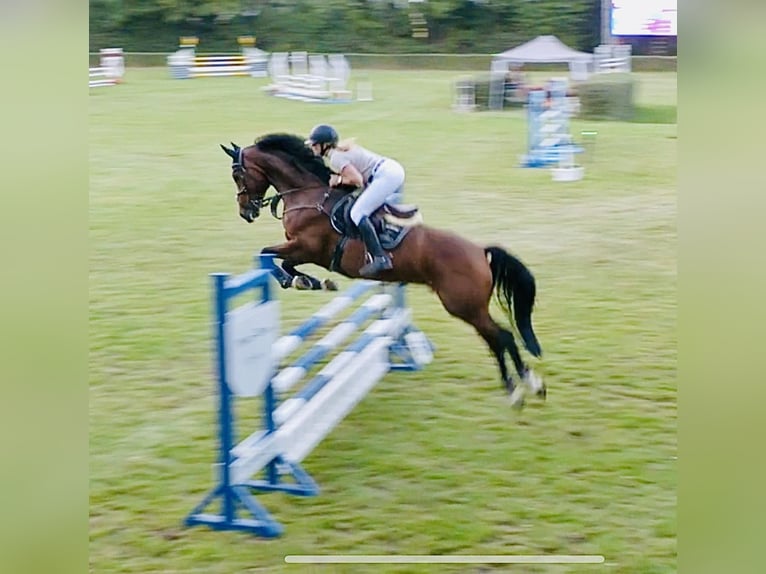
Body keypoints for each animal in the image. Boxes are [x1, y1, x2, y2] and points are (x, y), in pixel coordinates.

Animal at [220, 133, 544, 408]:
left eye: (237, 175)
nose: (246, 212)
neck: (308, 195)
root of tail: (480, 252)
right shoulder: (304, 252)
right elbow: (282, 262)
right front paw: (309, 281)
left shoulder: (306, 248)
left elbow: (266, 254)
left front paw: (299, 280)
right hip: (469, 306)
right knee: (498, 338)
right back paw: (527, 386)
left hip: (463, 305)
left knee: (501, 337)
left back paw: (520, 388)